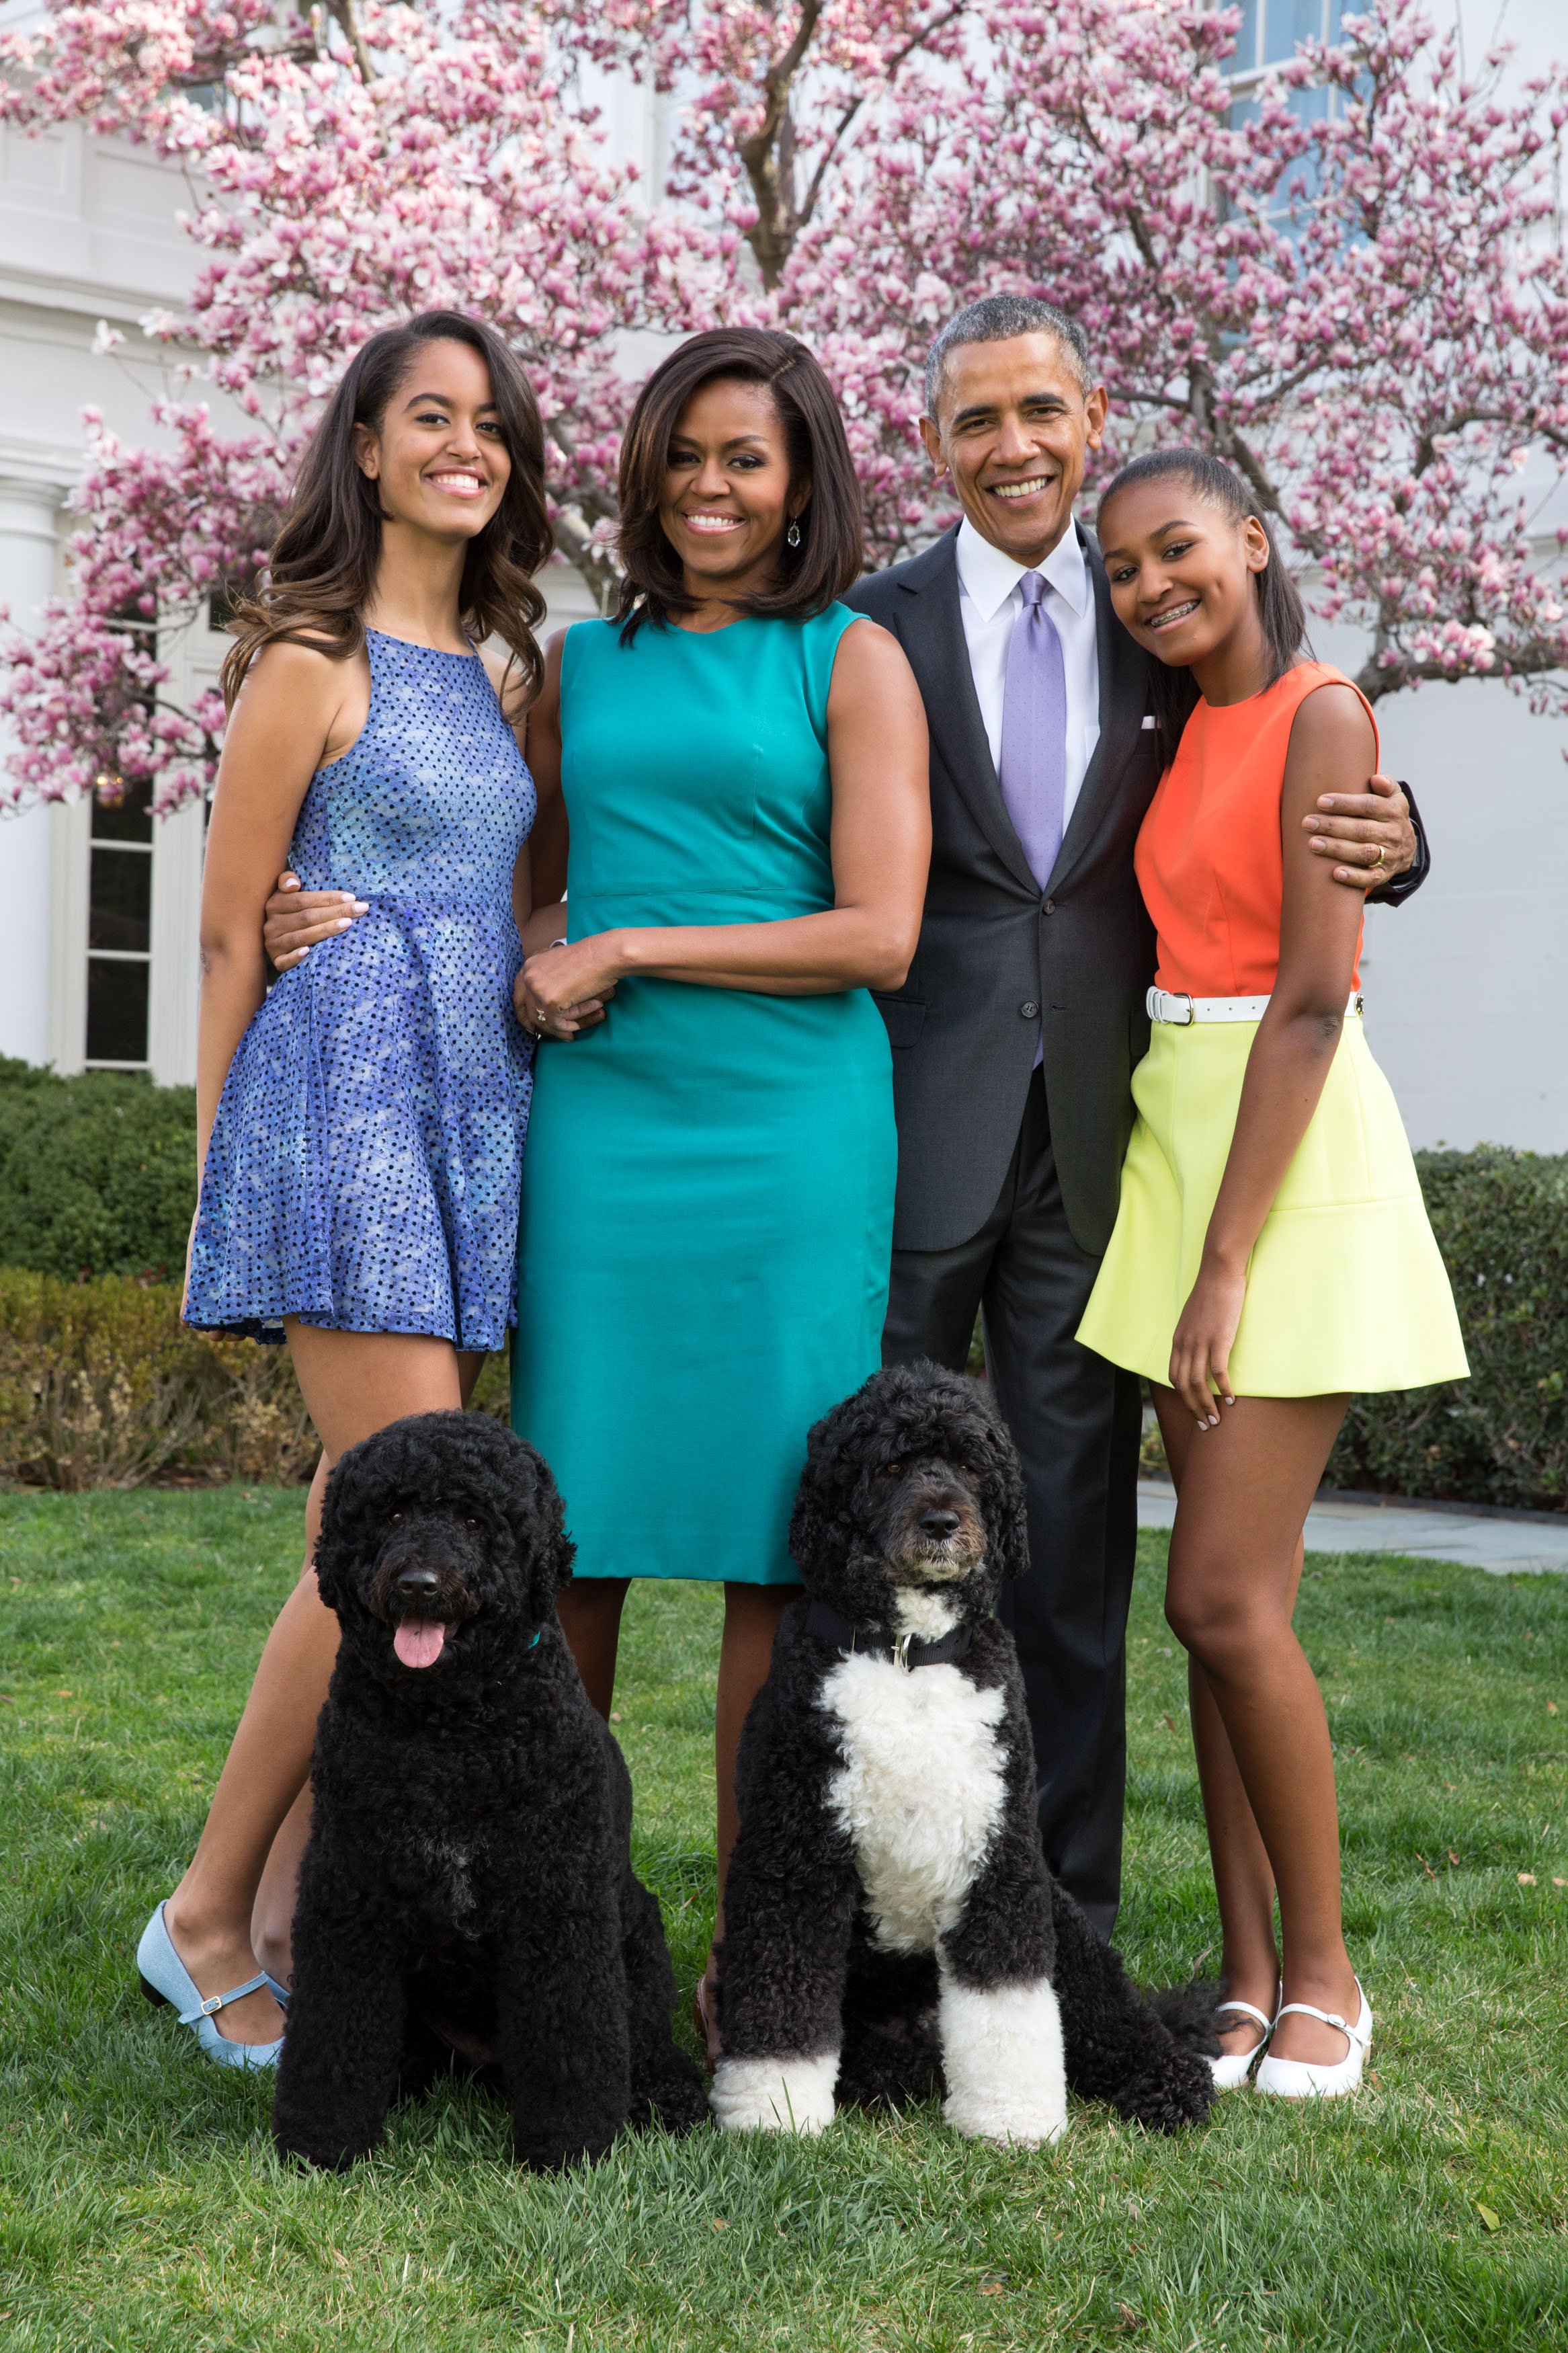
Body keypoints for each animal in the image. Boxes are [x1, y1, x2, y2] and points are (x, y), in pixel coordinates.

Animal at [275, 1402, 705, 2174]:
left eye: (476, 1519)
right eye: (391, 1511)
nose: (418, 1583)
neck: (449, 1733)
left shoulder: (556, 1901)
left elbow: (570, 2040)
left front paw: (570, 2145)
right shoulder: (349, 1890)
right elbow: (333, 2031)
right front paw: (322, 2138)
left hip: (635, 1934)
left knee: (647, 2042)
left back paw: (669, 2097)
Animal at [719, 1365, 1222, 2155]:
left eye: (970, 1466)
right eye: (889, 1465)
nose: (940, 1522)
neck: (909, 1655)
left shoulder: (999, 1859)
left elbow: (1005, 2003)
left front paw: (1011, 2118)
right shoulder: (794, 1858)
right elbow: (783, 2001)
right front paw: (774, 2114)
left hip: (1064, 1926)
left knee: (1117, 2017)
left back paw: (1167, 2080)